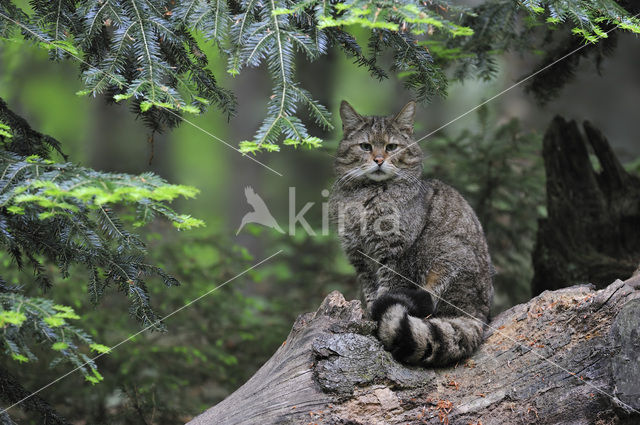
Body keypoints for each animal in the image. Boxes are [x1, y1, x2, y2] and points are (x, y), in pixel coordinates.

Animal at [328, 99, 492, 364]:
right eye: (365, 146)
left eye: (391, 146)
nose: (379, 159)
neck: (368, 196)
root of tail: (480, 313)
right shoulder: (359, 258)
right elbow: (371, 292)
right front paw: (369, 314)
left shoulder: (396, 254)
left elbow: (387, 288)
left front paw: (376, 322)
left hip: (443, 260)